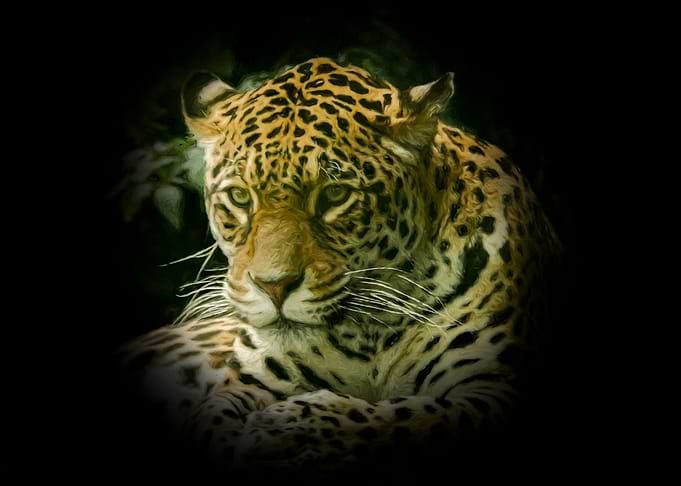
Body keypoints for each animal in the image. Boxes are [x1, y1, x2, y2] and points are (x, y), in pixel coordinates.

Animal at [121, 57, 561, 472]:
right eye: (240, 197)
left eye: (334, 195)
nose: (273, 286)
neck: (370, 335)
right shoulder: (250, 380)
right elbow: (211, 416)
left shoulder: (493, 386)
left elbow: (407, 417)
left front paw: (287, 426)